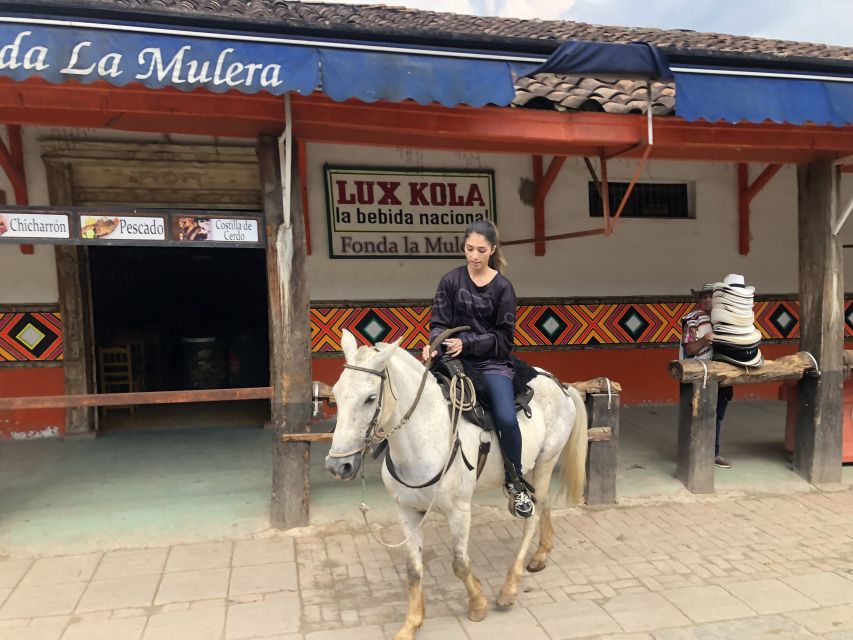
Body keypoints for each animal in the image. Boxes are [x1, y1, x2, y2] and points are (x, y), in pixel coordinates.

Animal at [324, 330, 584, 640]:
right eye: (336, 394)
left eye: (370, 398)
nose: (337, 466)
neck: (426, 437)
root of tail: (561, 384)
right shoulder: (407, 512)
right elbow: (413, 569)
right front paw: (411, 623)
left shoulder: (459, 511)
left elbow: (460, 563)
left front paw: (478, 603)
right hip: (532, 467)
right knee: (542, 504)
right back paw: (541, 554)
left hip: (547, 459)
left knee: (533, 514)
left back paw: (509, 587)